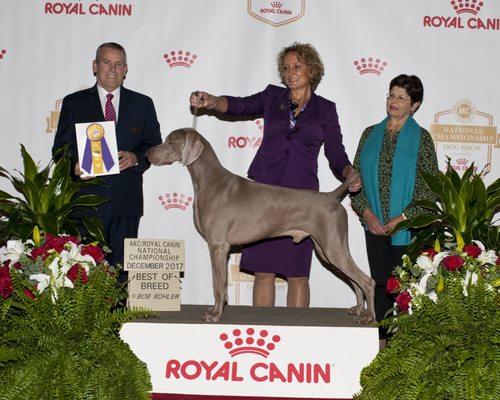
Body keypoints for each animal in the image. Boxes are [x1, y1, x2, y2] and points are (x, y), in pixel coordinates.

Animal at [147, 130, 376, 324]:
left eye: (170, 141)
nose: (148, 153)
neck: (209, 181)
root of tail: (332, 196)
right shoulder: (220, 248)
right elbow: (220, 283)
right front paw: (217, 310)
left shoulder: (218, 246)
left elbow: (218, 285)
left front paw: (215, 314)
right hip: (326, 250)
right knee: (354, 280)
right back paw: (358, 309)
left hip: (332, 247)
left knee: (367, 280)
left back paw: (369, 317)